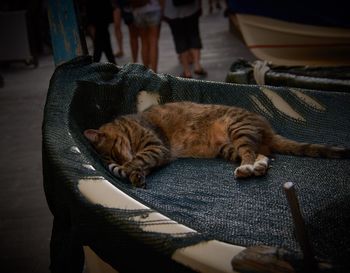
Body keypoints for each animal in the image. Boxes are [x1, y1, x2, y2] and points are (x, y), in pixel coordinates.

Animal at [83, 100, 348, 187]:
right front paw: (135, 175)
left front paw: (129, 169)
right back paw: (256, 167)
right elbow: (143, 165)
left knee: (251, 153)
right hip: (227, 147)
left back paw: (248, 167)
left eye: (114, 152)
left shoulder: (156, 146)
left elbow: (140, 158)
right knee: (263, 155)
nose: (121, 162)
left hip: (238, 128)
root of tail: (268, 128)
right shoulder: (156, 155)